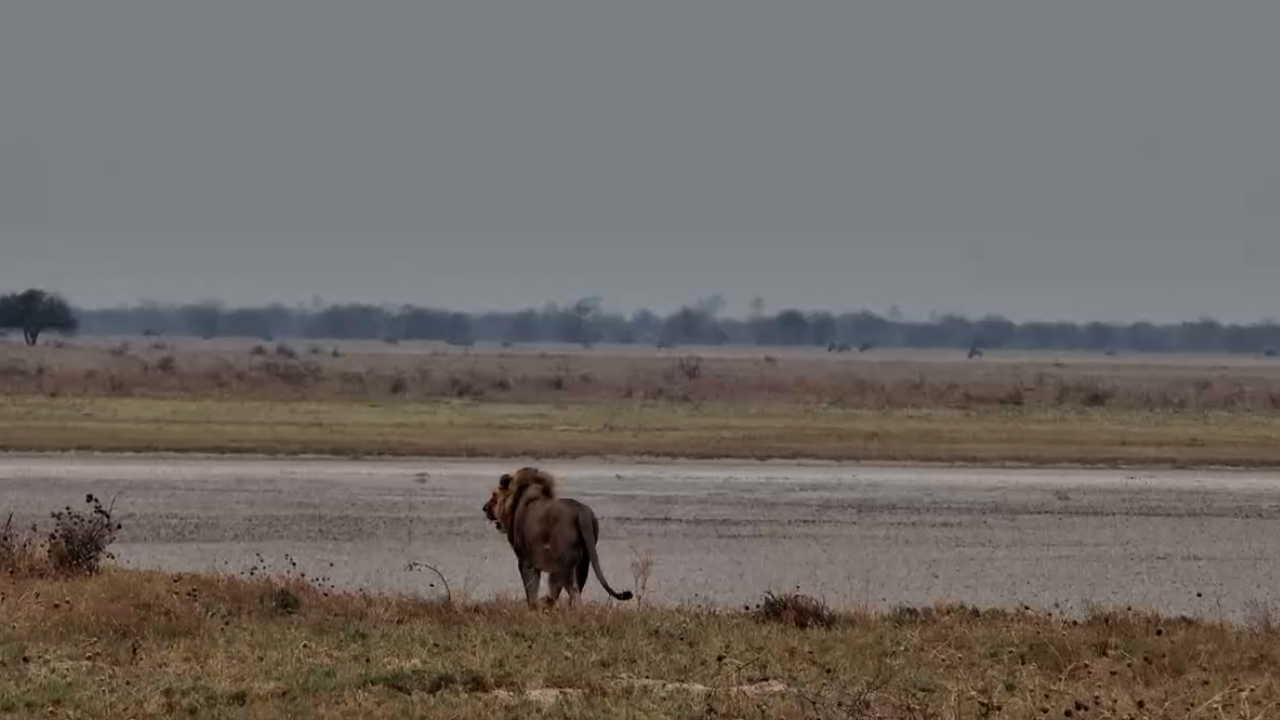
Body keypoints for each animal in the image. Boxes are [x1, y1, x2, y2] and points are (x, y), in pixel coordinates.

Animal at [482, 466, 634, 608]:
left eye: (494, 495)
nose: (484, 508)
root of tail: (582, 511)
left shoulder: (526, 561)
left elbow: (531, 591)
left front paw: (533, 609)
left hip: (560, 565)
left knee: (562, 593)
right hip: (582, 564)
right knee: (576, 592)